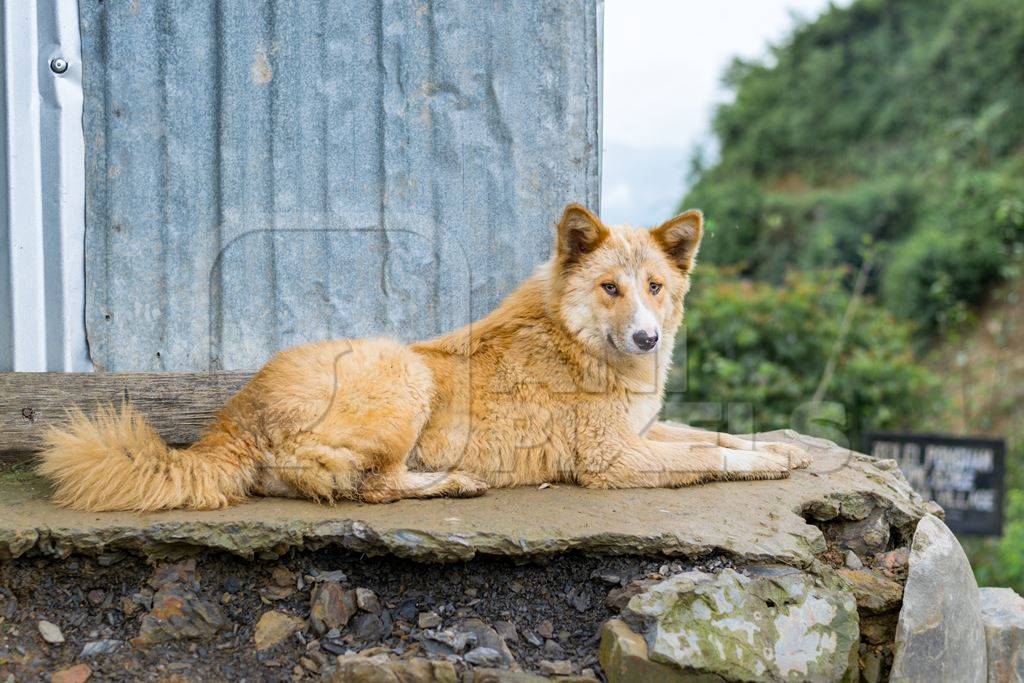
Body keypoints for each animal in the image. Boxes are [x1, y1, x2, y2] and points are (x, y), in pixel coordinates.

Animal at [37, 205, 806, 509]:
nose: (648, 337)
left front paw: (784, 449)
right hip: (402, 375)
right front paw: (764, 463)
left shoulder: (644, 430)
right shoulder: (612, 460)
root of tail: (229, 419)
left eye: (655, 288)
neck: (575, 337)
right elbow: (706, 455)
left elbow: (715, 432)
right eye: (609, 288)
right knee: (365, 485)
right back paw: (454, 482)